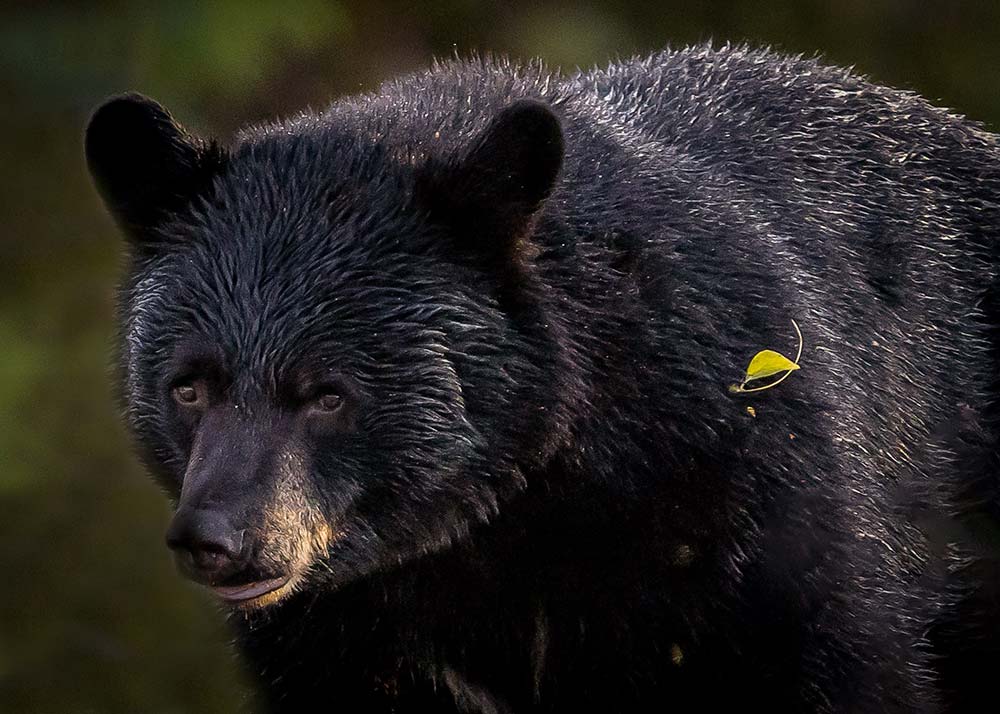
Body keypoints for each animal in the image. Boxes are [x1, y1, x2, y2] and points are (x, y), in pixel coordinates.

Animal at [85, 44, 1000, 712]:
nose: (219, 539)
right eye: (189, 385)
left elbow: (840, 656)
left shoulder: (760, 498)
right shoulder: (339, 637)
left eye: (329, 394)